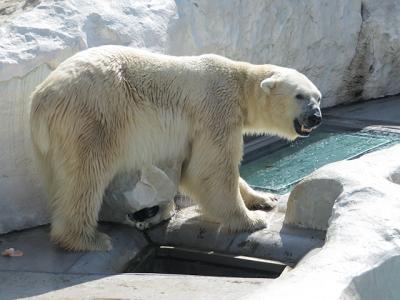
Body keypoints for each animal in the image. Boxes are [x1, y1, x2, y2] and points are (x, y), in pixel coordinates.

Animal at [30, 45, 322, 252]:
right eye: (300, 96)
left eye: (317, 97)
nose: (316, 117)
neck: (238, 81)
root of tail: (41, 98)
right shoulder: (215, 111)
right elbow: (210, 169)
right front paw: (251, 220)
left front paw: (263, 199)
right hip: (92, 117)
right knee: (85, 176)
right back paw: (88, 240)